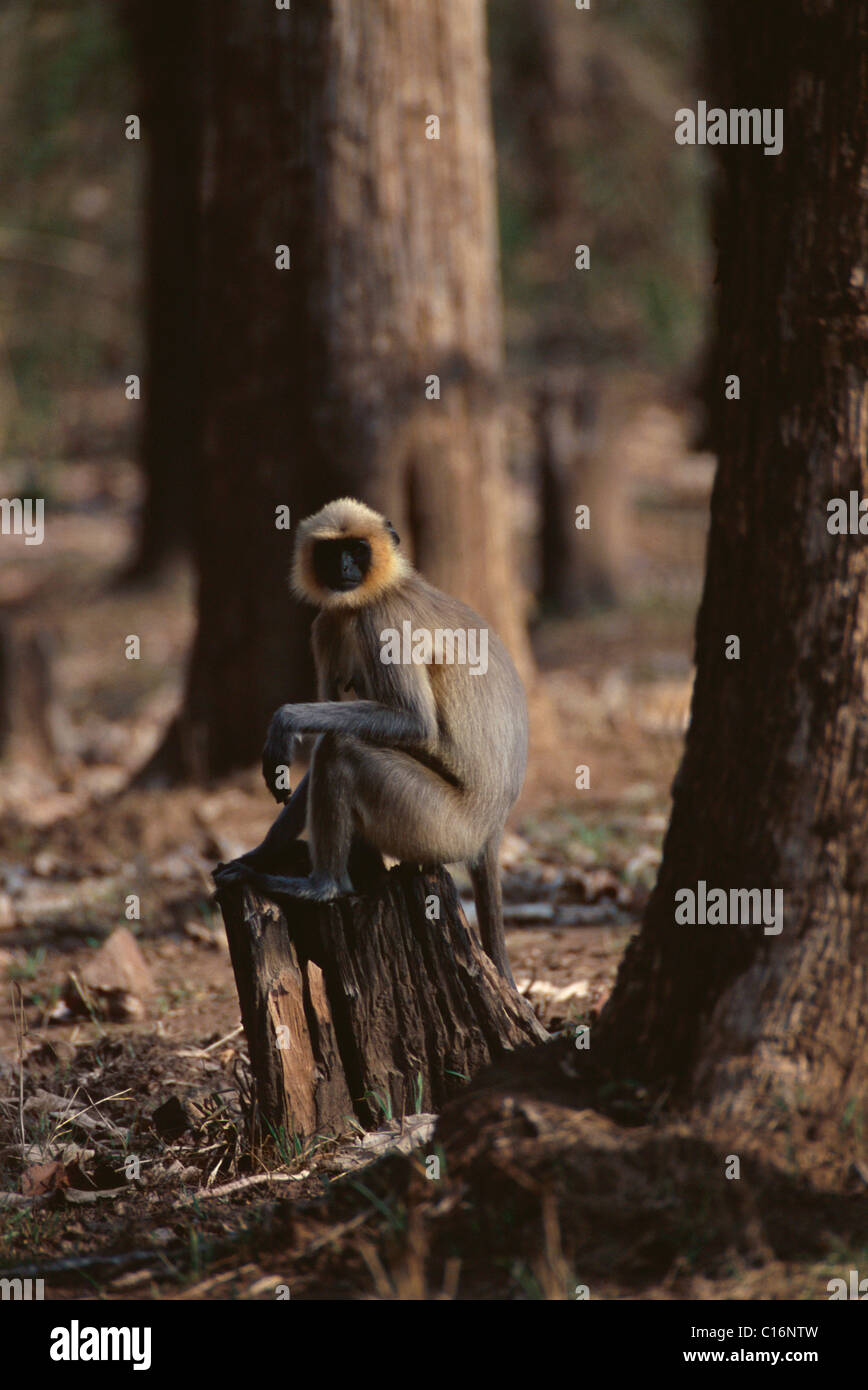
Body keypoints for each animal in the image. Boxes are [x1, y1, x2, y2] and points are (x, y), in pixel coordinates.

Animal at [217, 494, 528, 984]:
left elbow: (413, 723)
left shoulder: (381, 620)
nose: (345, 567)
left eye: (357, 550)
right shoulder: (327, 623)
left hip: (439, 825)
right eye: (332, 552)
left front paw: (285, 721)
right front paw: (260, 854)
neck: (379, 590)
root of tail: (492, 829)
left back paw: (325, 887)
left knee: (343, 748)